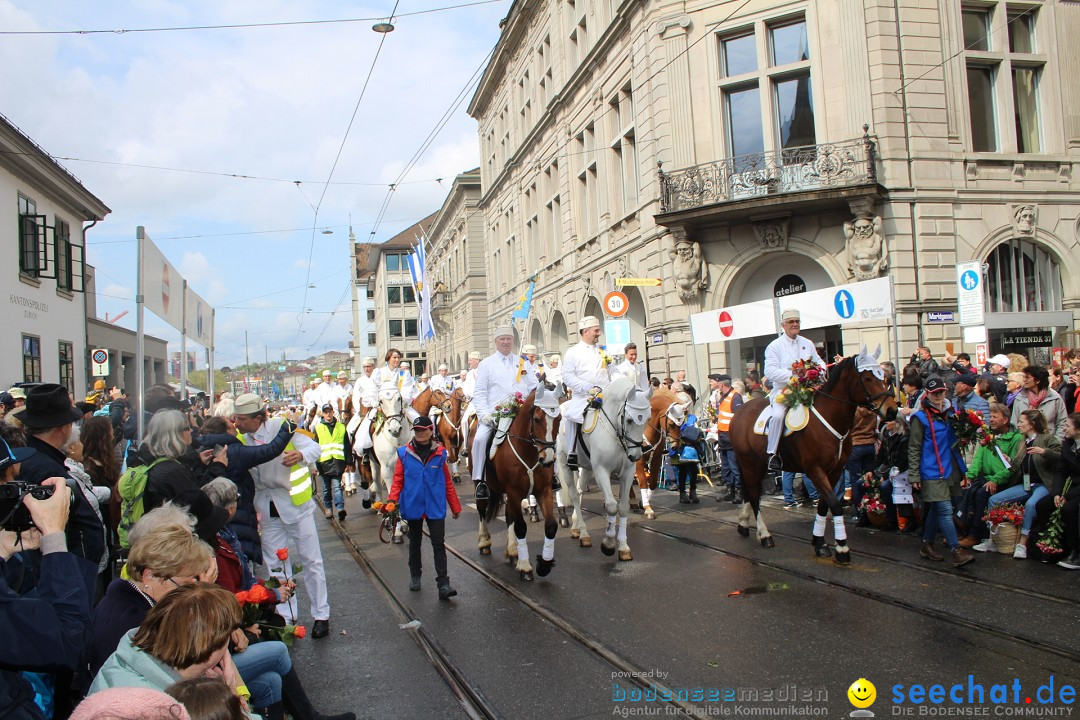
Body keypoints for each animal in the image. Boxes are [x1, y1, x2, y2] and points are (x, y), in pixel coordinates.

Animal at [477, 382, 561, 578]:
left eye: (560, 419)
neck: (529, 451)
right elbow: (521, 527)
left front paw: (544, 564)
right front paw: (525, 566)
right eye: (537, 419)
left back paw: (512, 550)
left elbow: (551, 526)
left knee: (509, 515)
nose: (548, 459)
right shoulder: (514, 492)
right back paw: (484, 542)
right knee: (482, 509)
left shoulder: (543, 490)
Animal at [557, 377, 648, 561]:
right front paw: (608, 544)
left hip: (587, 468)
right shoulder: (601, 471)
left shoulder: (627, 473)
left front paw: (623, 547)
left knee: (580, 491)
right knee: (574, 495)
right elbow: (612, 506)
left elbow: (623, 507)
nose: (635, 456)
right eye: (629, 420)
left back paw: (576, 527)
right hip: (566, 466)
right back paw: (584, 534)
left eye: (646, 420)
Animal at [630, 388, 682, 518]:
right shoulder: (639, 461)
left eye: (682, 424)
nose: (676, 446)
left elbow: (652, 483)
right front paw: (647, 508)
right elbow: (643, 482)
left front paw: (643, 503)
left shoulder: (656, 459)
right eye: (671, 424)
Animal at [730, 347, 898, 561]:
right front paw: (842, 548)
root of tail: (741, 410)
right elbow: (834, 504)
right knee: (753, 495)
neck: (829, 419)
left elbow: (824, 505)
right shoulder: (815, 470)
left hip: (755, 465)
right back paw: (765, 535)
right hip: (750, 463)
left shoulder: (835, 470)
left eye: (883, 376)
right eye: (867, 378)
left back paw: (744, 524)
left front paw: (819, 542)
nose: (892, 410)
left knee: (749, 491)